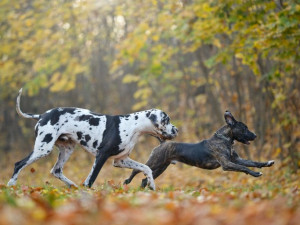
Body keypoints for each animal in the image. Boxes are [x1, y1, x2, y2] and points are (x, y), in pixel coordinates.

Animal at [7, 88, 178, 190]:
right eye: (167, 120)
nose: (176, 130)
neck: (132, 126)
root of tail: (42, 115)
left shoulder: (121, 160)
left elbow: (146, 168)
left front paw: (152, 185)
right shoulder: (101, 156)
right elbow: (91, 179)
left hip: (66, 149)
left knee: (56, 170)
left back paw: (73, 186)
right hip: (43, 148)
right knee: (19, 164)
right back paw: (11, 185)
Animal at [123, 110, 274, 187]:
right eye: (244, 128)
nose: (255, 135)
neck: (225, 140)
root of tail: (162, 143)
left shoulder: (236, 159)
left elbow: (252, 162)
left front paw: (267, 163)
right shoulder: (227, 164)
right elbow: (244, 168)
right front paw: (256, 174)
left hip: (160, 168)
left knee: (144, 179)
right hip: (154, 162)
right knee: (136, 170)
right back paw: (127, 182)